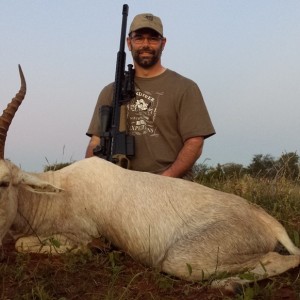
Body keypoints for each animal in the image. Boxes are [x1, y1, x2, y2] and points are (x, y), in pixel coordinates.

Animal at [0, 66, 298, 290]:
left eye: (4, 182)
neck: (59, 190)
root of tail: (266, 220)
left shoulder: (80, 233)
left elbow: (23, 243)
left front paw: (93, 250)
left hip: (183, 259)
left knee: (284, 259)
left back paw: (229, 285)